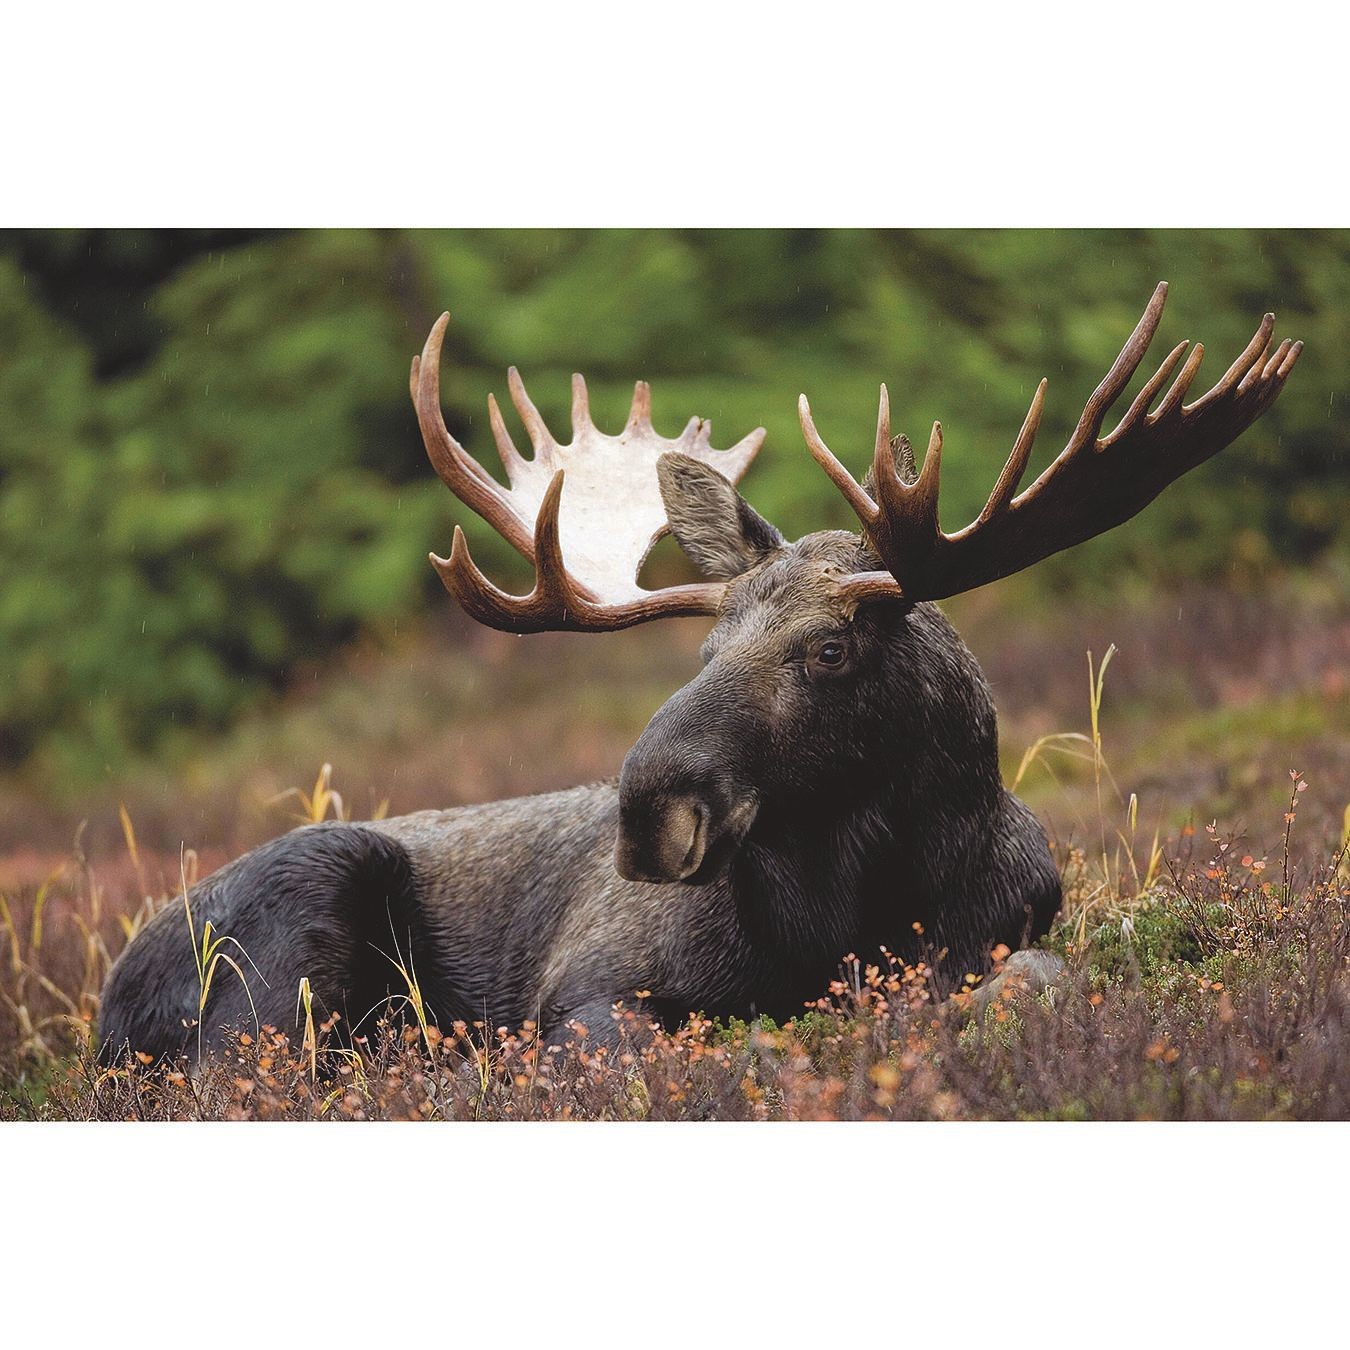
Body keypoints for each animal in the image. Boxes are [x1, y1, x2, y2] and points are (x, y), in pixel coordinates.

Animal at [98, 283, 1301, 1064]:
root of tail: (110, 996)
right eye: (705, 649)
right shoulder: (589, 990)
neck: (851, 917)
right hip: (287, 947)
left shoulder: (1011, 935)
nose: (648, 814)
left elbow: (1035, 983)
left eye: (829, 648)